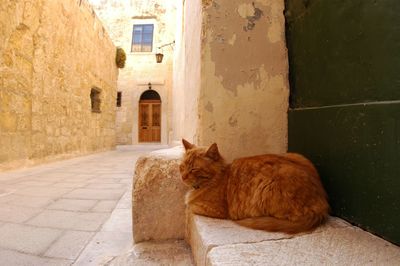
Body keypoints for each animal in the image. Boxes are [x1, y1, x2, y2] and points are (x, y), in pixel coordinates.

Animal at [180, 139, 330, 233]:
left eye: (193, 169)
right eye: (182, 167)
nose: (183, 177)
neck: (218, 177)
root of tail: (322, 205)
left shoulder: (215, 210)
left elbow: (189, 206)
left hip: (265, 189)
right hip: (298, 156)